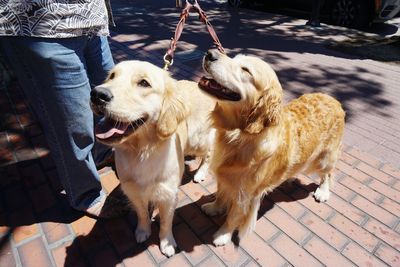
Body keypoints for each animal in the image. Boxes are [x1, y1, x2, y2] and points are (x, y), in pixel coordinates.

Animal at [90, 61, 216, 258]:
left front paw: (166, 242)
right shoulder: (132, 191)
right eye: (112, 76)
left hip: (198, 140)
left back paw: (201, 173)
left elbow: (165, 222)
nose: (97, 94)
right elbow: (142, 213)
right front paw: (143, 231)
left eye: (144, 83)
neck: (142, 151)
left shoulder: (168, 195)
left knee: (209, 153)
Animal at [198, 49, 346, 247]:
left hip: (325, 158)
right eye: (234, 58)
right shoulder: (225, 177)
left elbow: (234, 216)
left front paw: (223, 234)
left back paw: (323, 191)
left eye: (246, 70)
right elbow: (221, 193)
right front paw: (215, 207)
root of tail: (333, 99)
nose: (210, 53)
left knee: (327, 174)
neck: (241, 136)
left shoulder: (245, 195)